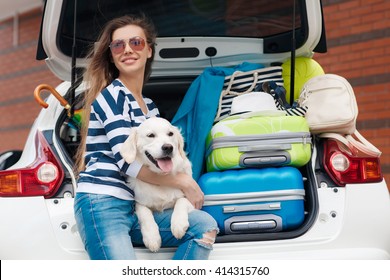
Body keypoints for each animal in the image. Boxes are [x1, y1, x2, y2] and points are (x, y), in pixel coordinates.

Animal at [121, 117, 194, 253]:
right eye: (151, 135)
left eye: (170, 134)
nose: (168, 147)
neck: (161, 176)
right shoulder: (138, 203)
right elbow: (145, 213)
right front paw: (152, 237)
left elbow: (181, 201)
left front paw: (178, 224)